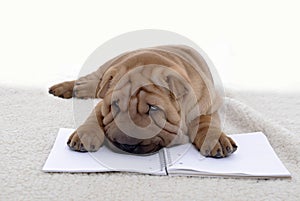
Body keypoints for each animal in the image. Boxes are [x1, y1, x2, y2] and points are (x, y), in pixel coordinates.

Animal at [48, 44, 237, 158]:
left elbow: (207, 121)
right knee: (93, 81)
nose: (125, 144)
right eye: (115, 105)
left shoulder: (209, 105)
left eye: (153, 108)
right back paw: (70, 88)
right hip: (106, 68)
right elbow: (94, 117)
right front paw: (85, 134)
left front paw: (216, 139)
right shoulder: (103, 104)